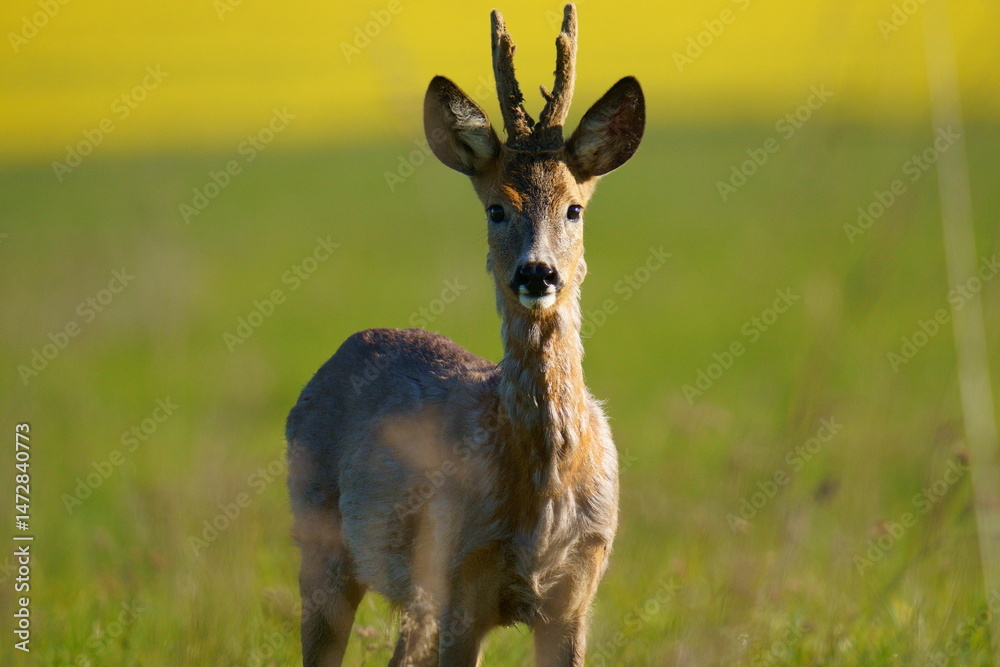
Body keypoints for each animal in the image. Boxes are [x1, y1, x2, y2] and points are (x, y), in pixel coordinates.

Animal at [286, 4, 644, 665]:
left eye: (574, 208)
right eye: (495, 209)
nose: (537, 272)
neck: (541, 481)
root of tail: (349, 345)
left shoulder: (576, 594)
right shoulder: (459, 578)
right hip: (323, 540)